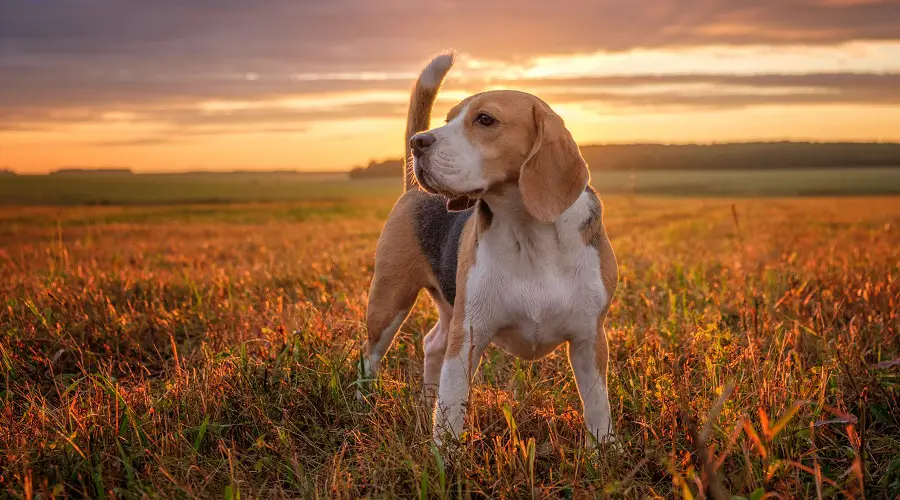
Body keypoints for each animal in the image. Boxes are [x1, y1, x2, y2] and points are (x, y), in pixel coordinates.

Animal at [358, 53, 620, 446]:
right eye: (448, 120)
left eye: (485, 120)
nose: (418, 143)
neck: (528, 233)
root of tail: (413, 190)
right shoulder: (468, 336)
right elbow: (452, 408)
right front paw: (445, 458)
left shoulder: (590, 339)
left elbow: (598, 406)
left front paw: (604, 451)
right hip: (389, 301)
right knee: (371, 357)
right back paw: (361, 404)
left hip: (448, 305)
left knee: (432, 343)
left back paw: (424, 402)